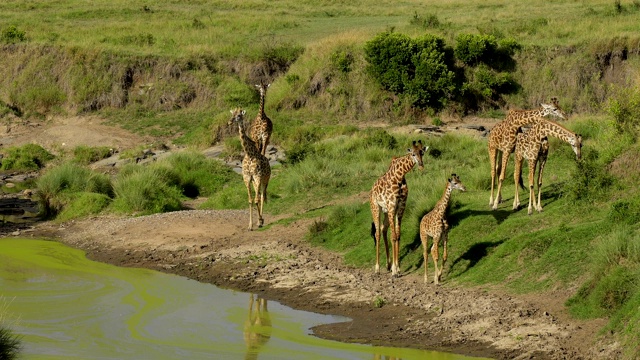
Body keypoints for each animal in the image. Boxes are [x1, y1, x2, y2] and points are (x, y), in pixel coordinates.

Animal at [368, 139, 428, 278]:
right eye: (413, 154)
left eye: (422, 153)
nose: (421, 166)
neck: (399, 176)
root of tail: (371, 189)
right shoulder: (392, 206)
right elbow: (394, 236)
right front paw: (395, 271)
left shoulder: (400, 207)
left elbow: (398, 236)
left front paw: (397, 268)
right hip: (376, 208)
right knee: (378, 232)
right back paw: (377, 268)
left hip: (386, 211)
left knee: (383, 229)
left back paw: (388, 265)